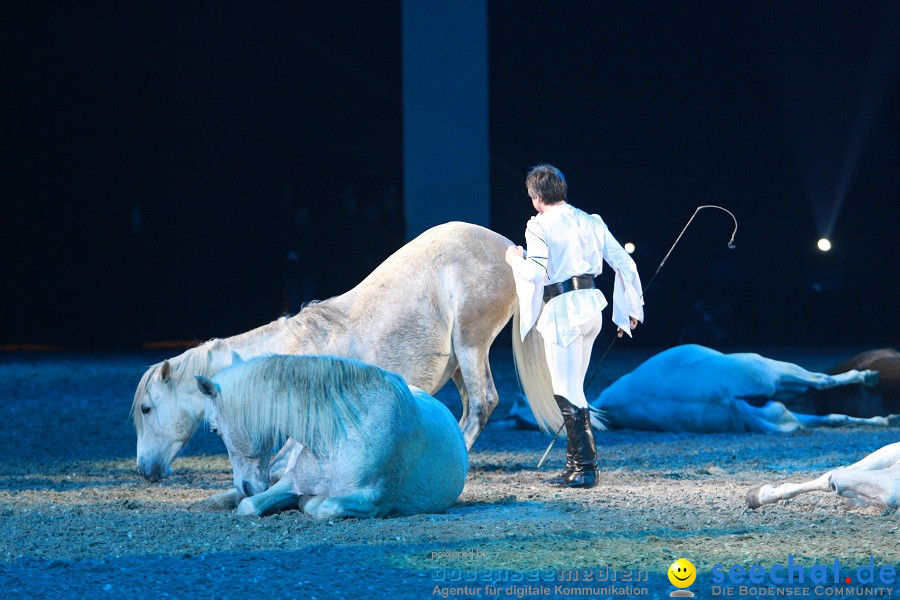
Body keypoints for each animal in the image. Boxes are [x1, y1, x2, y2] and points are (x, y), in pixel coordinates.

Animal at [193, 354, 468, 516]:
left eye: (215, 429)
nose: (245, 485)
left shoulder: (375, 499)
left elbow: (325, 507)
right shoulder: (290, 481)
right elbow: (249, 505)